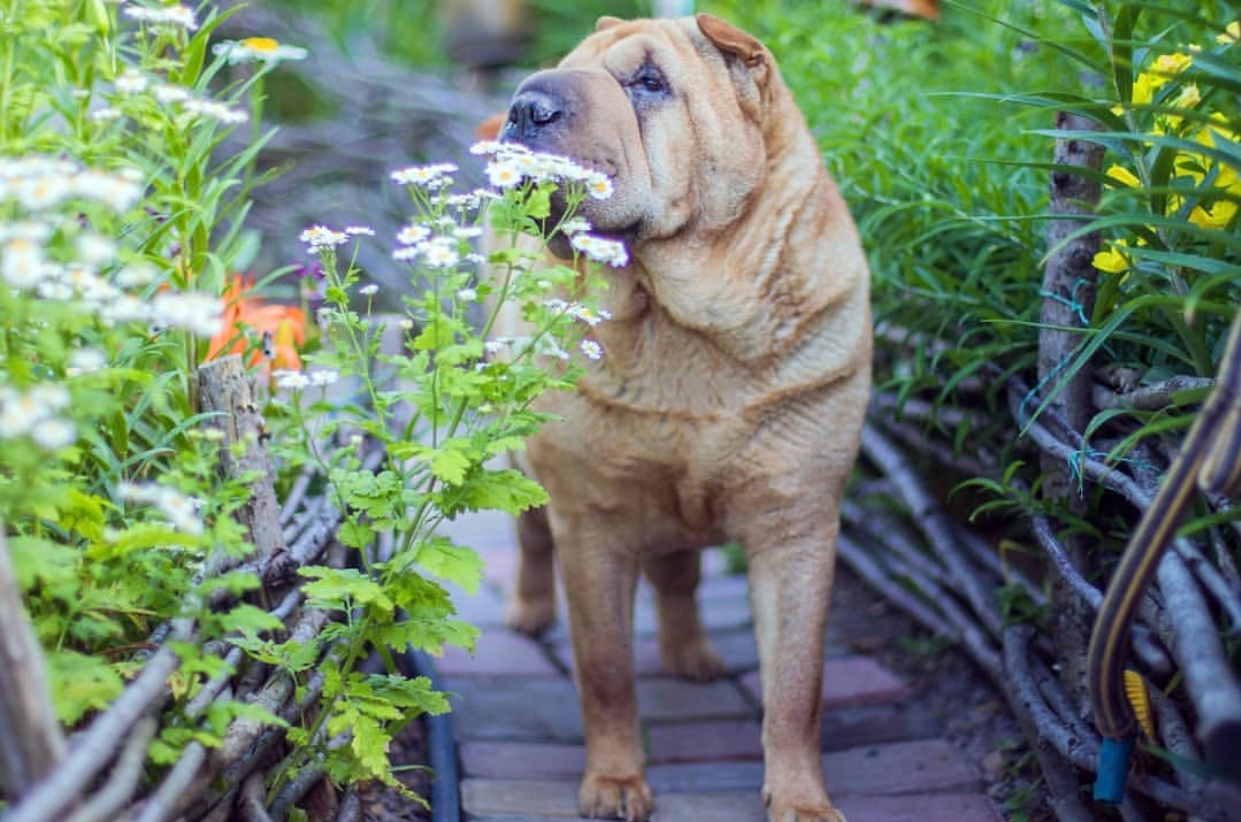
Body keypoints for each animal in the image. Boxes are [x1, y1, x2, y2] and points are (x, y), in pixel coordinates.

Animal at [493, 12, 873, 822]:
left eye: (649, 82)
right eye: (563, 68)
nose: (525, 106)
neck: (681, 322)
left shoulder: (797, 523)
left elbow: (797, 687)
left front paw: (802, 801)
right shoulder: (592, 520)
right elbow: (605, 673)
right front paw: (614, 785)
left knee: (677, 572)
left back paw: (691, 656)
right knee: (532, 538)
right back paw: (531, 612)